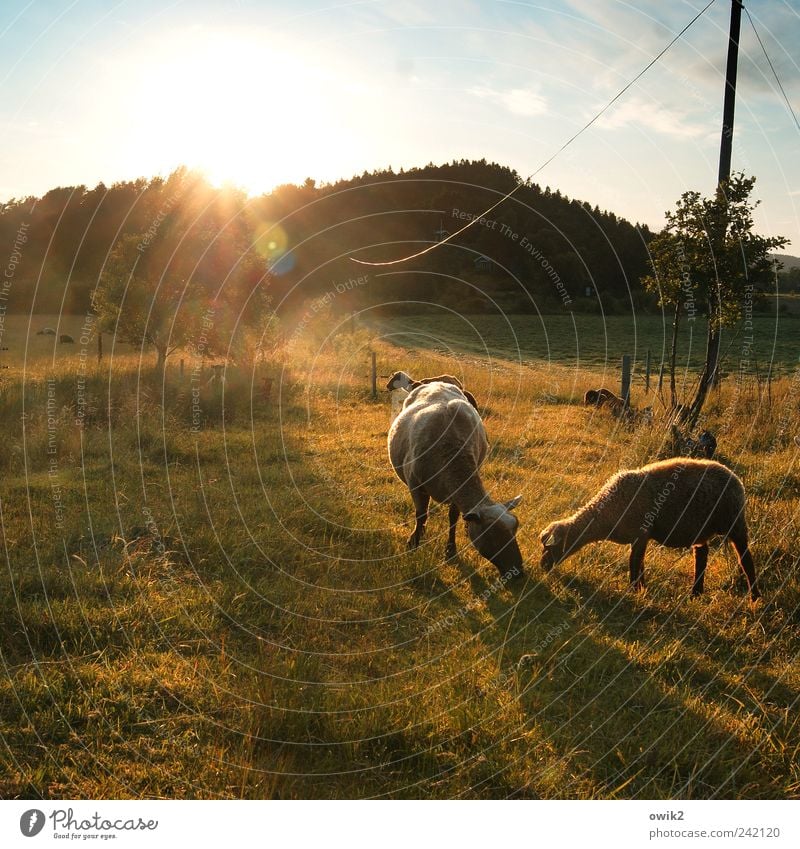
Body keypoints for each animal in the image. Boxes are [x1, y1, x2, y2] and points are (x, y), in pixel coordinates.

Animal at [390, 380, 524, 580]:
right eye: (491, 535)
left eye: (515, 529)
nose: (518, 572)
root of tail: (437, 382)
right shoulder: (416, 485)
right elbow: (421, 515)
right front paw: (413, 542)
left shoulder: (454, 493)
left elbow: (453, 517)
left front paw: (450, 550)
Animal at [536, 458, 756, 604]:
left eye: (551, 548)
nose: (543, 566)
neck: (606, 513)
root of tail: (735, 477)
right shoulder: (641, 538)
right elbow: (640, 564)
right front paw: (642, 589)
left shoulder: (640, 534)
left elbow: (634, 563)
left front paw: (634, 590)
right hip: (701, 530)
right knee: (701, 555)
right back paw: (695, 593)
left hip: (735, 523)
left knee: (745, 559)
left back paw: (755, 597)